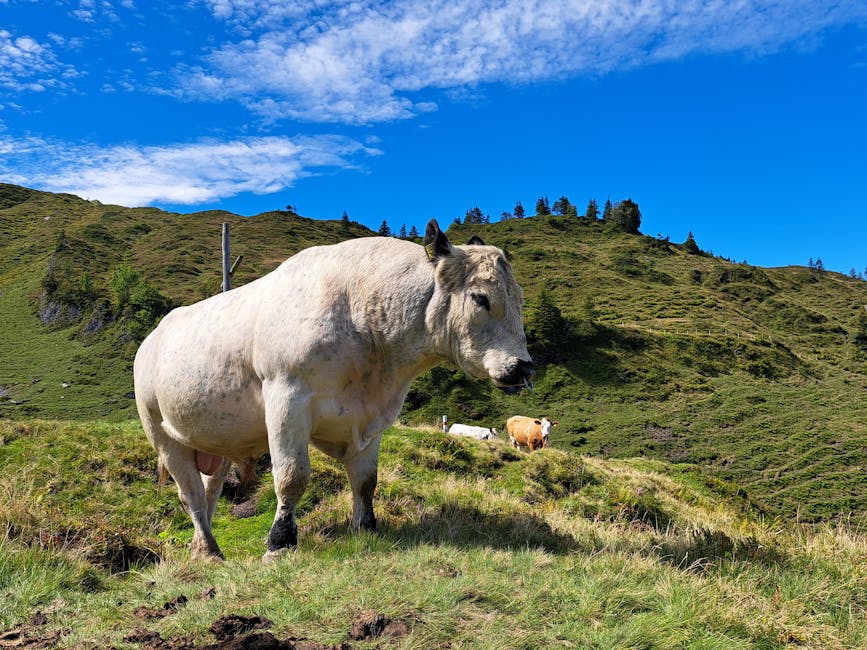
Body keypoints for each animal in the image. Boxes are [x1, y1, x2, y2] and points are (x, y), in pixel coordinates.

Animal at [134, 219, 533, 561]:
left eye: (519, 298)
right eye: (480, 298)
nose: (524, 367)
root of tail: (151, 340)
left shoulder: (372, 417)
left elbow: (365, 480)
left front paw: (366, 528)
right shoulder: (287, 400)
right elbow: (292, 476)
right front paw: (279, 542)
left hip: (217, 440)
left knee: (209, 489)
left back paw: (201, 549)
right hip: (162, 435)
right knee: (191, 495)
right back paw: (211, 551)